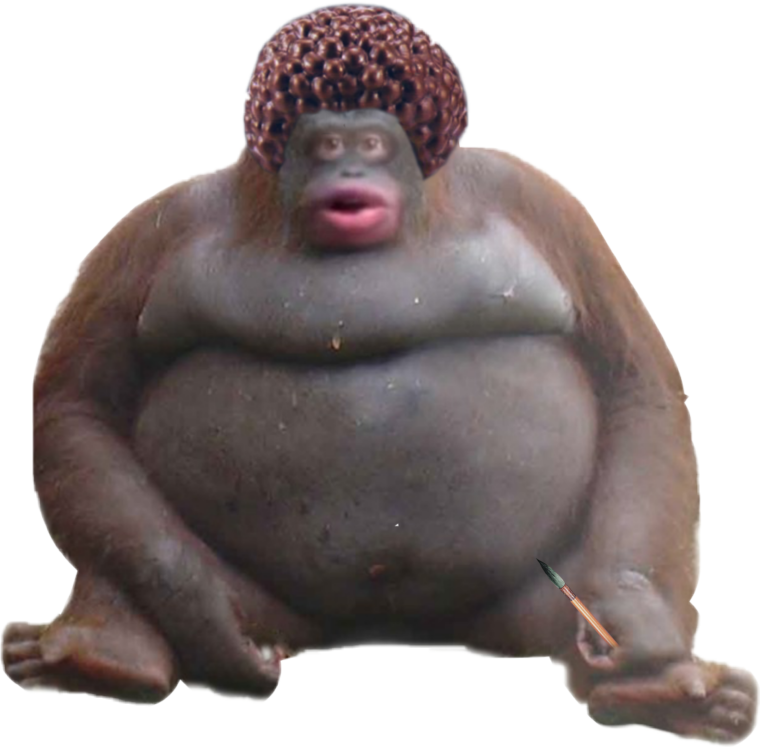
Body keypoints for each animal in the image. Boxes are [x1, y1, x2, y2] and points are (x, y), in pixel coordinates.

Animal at [3, 5, 756, 740]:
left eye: (371, 145)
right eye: (324, 148)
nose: (349, 177)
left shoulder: (546, 203)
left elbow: (635, 381)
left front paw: (631, 618)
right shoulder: (153, 225)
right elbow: (77, 401)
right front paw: (201, 616)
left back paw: (667, 687)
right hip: (273, 609)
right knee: (117, 520)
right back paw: (105, 650)